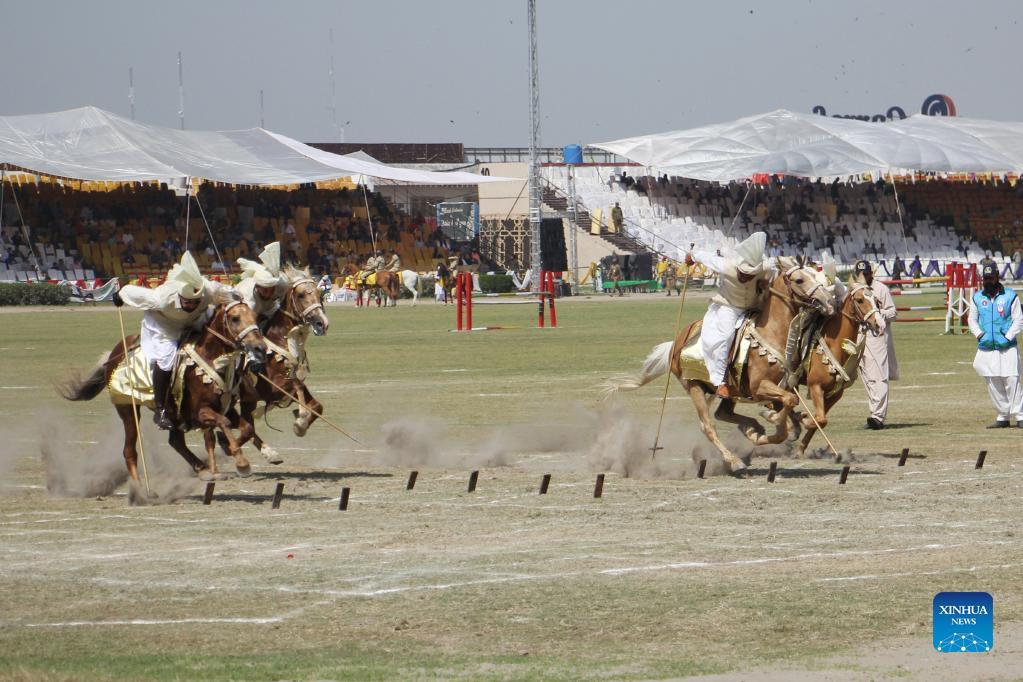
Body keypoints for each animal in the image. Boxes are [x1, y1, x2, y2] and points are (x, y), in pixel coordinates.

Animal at [59, 294, 268, 486]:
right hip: (128, 411)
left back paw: (202, 469)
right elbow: (224, 423)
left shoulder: (227, 408)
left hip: (173, 415)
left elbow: (247, 428)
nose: (260, 348)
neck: (210, 360)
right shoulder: (201, 411)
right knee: (129, 450)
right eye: (235, 318)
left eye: (255, 317)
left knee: (175, 441)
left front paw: (228, 448)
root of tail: (114, 353)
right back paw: (140, 488)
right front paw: (241, 463)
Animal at [231, 267, 330, 463]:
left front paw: (300, 425)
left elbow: (317, 406)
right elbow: (296, 387)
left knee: (247, 427)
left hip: (247, 401)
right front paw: (300, 420)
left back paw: (269, 452)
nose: (321, 323)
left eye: (319, 294)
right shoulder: (272, 389)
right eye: (301, 294)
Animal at [601, 257, 834, 473]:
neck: (772, 333)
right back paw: (735, 461)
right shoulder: (759, 387)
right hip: (694, 387)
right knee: (708, 425)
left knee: (722, 414)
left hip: (729, 390)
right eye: (799, 279)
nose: (828, 301)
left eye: (816, 274)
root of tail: (676, 343)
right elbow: (788, 405)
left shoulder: (780, 386)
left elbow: (788, 412)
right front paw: (772, 421)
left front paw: (772, 427)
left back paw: (751, 428)